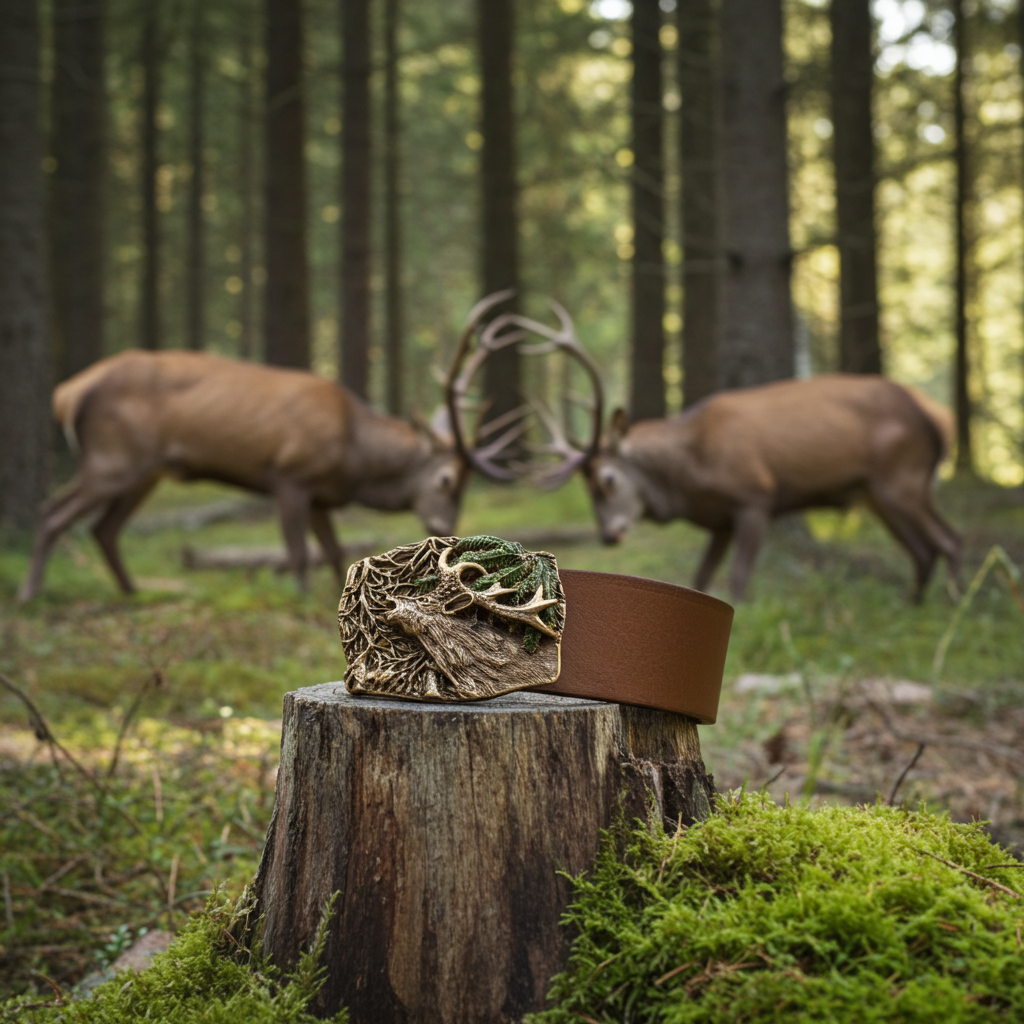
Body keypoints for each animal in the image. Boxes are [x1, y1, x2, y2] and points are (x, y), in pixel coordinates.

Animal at [17, 293, 523, 602]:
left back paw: (134, 592)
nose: (445, 528)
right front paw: (299, 596)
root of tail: (69, 392)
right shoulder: (290, 476)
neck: (354, 457)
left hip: (145, 471)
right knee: (53, 512)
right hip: (114, 456)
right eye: (447, 479)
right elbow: (297, 553)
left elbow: (335, 552)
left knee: (103, 528)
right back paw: (30, 593)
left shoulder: (321, 495)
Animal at [480, 303, 962, 603]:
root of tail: (937, 419)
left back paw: (952, 607)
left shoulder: (755, 496)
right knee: (923, 549)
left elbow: (739, 577)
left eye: (609, 479)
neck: (691, 476)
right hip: (877, 493)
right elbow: (700, 578)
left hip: (903, 475)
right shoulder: (719, 522)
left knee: (947, 539)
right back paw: (914, 605)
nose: (609, 536)